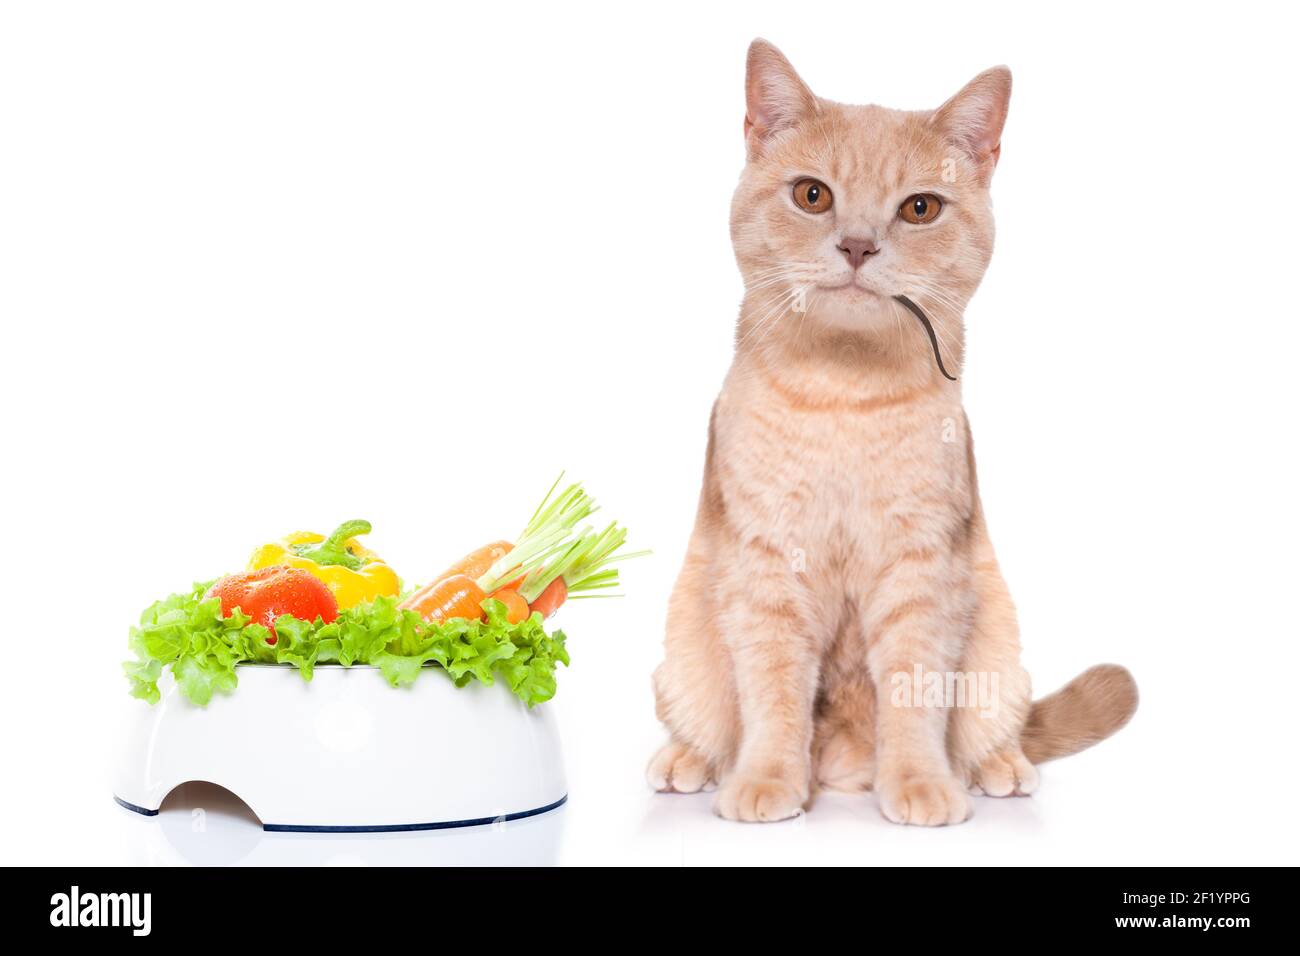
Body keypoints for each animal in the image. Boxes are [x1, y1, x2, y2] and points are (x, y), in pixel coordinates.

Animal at [650, 41, 1138, 827]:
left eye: (919, 208)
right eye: (812, 196)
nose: (857, 245)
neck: (846, 395)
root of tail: (842, 769)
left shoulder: (920, 570)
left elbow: (914, 693)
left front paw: (918, 784)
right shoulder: (767, 568)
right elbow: (773, 694)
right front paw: (766, 781)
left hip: (999, 641)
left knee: (995, 725)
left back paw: (998, 768)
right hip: (681, 652)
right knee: (705, 723)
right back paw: (688, 762)